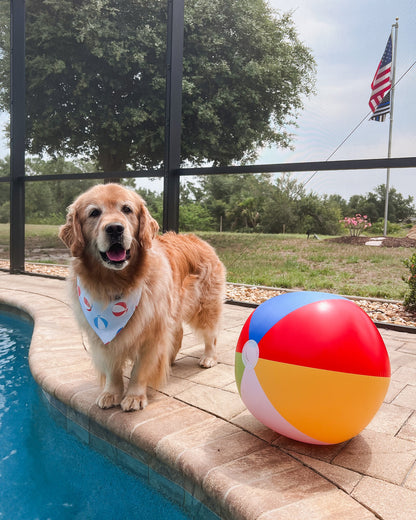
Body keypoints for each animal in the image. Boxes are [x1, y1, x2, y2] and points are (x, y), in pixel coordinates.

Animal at [59, 183, 224, 410]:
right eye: (94, 213)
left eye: (127, 209)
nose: (115, 229)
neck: (116, 284)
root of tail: (199, 239)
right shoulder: (101, 338)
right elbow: (112, 368)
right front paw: (111, 393)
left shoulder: (152, 332)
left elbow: (139, 369)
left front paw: (134, 396)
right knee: (178, 333)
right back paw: (169, 360)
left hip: (204, 306)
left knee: (211, 335)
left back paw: (209, 358)